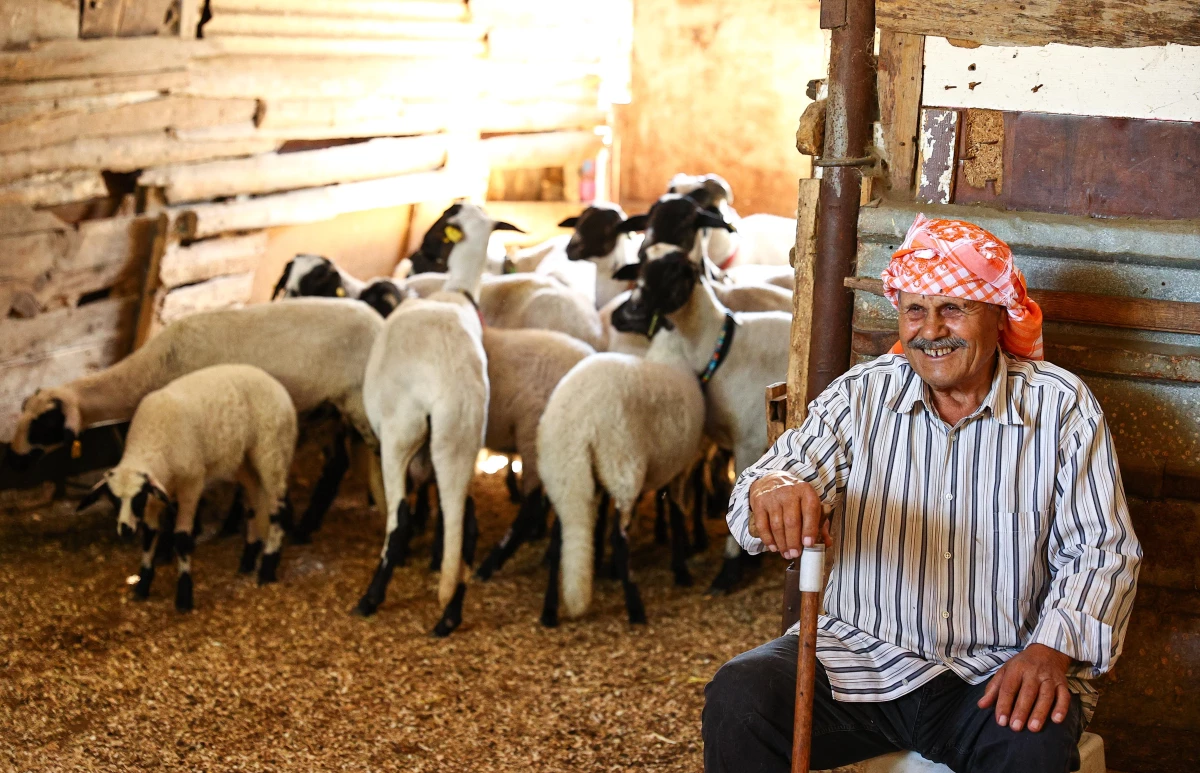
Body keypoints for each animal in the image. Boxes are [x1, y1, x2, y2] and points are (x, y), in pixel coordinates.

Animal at [12, 296, 388, 537]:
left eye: (43, 425)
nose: (13, 457)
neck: (155, 366)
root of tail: (379, 321)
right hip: (330, 408)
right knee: (337, 465)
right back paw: (308, 526)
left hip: (358, 402)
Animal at [76, 364, 296, 612]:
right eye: (113, 499)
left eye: (138, 497)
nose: (125, 530)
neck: (152, 444)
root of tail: (272, 381)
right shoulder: (159, 493)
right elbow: (150, 535)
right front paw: (142, 586)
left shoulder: (191, 484)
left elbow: (181, 539)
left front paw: (184, 597)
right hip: (243, 461)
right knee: (255, 505)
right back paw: (248, 562)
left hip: (273, 452)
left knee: (278, 510)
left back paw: (267, 570)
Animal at [355, 199, 525, 633]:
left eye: (436, 229)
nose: (415, 254)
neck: (458, 292)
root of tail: (450, 385)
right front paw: (434, 558)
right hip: (460, 438)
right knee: (465, 522)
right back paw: (450, 613)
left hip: (401, 436)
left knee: (397, 521)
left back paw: (370, 599)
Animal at [540, 331, 705, 628]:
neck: (669, 353)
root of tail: (578, 423)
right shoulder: (679, 467)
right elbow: (676, 513)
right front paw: (681, 568)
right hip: (622, 468)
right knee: (619, 538)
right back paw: (635, 607)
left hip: (566, 474)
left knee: (559, 540)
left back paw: (549, 611)